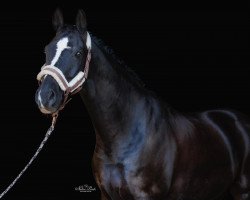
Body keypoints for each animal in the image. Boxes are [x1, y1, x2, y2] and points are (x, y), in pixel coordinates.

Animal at [34, 9, 250, 200]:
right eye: (46, 50)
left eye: (78, 53)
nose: (45, 97)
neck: (125, 136)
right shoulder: (106, 195)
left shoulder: (146, 196)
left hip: (243, 190)